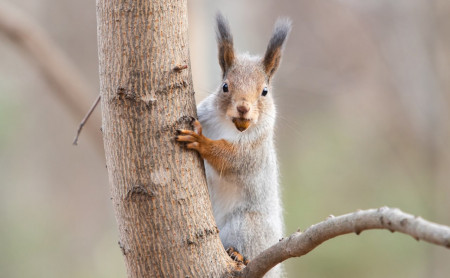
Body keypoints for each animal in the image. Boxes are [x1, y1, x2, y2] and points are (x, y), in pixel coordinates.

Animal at [177, 11, 292, 276]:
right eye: (225, 86)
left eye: (265, 91)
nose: (243, 108)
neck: (231, 127)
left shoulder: (254, 150)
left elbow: (231, 160)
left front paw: (201, 141)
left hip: (248, 225)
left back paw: (239, 255)